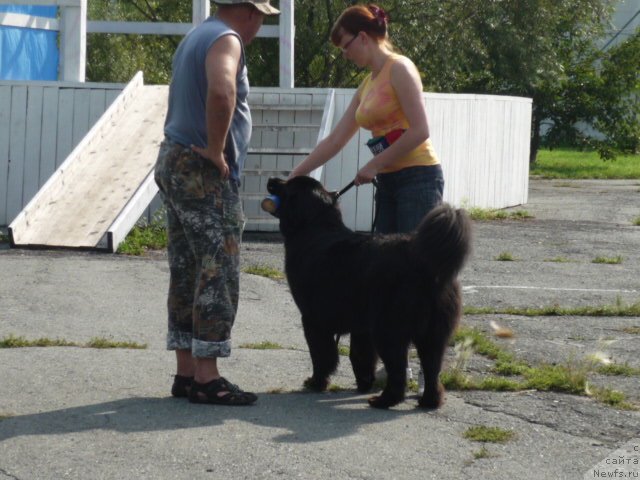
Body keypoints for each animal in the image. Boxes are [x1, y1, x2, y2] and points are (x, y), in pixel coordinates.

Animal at [264, 176, 470, 408]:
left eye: (286, 185)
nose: (271, 180)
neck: (314, 228)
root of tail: (424, 264)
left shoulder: (313, 320)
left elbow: (321, 355)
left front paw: (316, 382)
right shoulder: (362, 328)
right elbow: (361, 356)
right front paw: (364, 382)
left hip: (389, 330)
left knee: (398, 370)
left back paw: (384, 400)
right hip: (433, 334)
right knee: (432, 369)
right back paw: (429, 401)